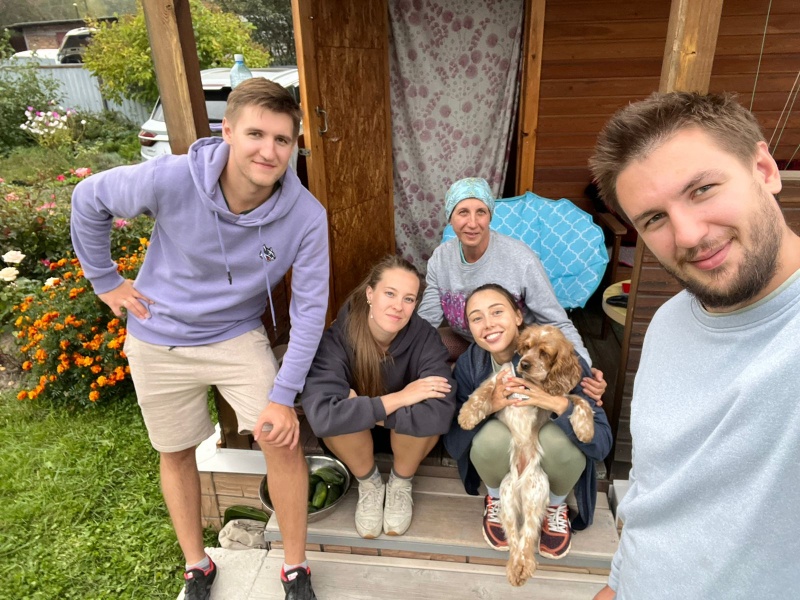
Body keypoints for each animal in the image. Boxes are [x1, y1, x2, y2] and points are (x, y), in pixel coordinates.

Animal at [457, 324, 595, 586]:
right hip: (508, 497)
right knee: (513, 537)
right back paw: (515, 568)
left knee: (527, 536)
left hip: (535, 493)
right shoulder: (501, 377)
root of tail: (521, 481)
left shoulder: (556, 399)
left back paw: (523, 567)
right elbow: (482, 392)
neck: (530, 383)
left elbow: (579, 401)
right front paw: (467, 416)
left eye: (544, 353)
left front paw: (585, 429)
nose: (524, 363)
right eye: (526, 347)